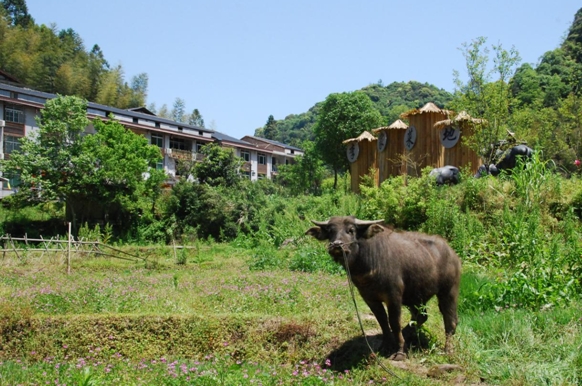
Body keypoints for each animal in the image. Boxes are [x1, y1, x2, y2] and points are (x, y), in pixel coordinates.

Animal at [308, 216, 464, 360]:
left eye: (351, 230)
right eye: (330, 231)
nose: (336, 245)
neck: (369, 265)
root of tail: (453, 254)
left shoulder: (394, 297)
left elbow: (394, 322)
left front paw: (400, 351)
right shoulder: (369, 298)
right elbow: (382, 321)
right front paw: (387, 345)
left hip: (448, 292)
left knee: (450, 320)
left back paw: (448, 349)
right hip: (416, 297)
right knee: (421, 316)